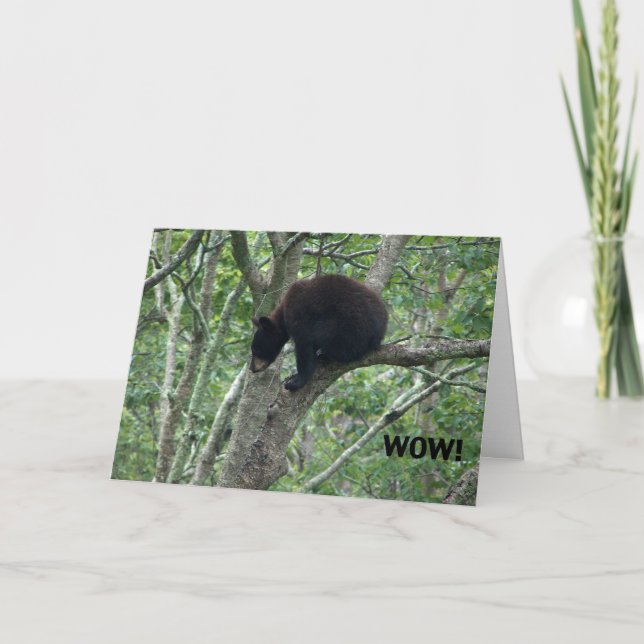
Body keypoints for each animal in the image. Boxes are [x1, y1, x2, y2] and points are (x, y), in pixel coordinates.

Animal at [249, 274, 388, 391]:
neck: (283, 313)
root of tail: (376, 336)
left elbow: (304, 346)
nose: (252, 368)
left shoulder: (298, 314)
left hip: (344, 329)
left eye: (256, 350)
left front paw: (295, 382)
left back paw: (325, 355)